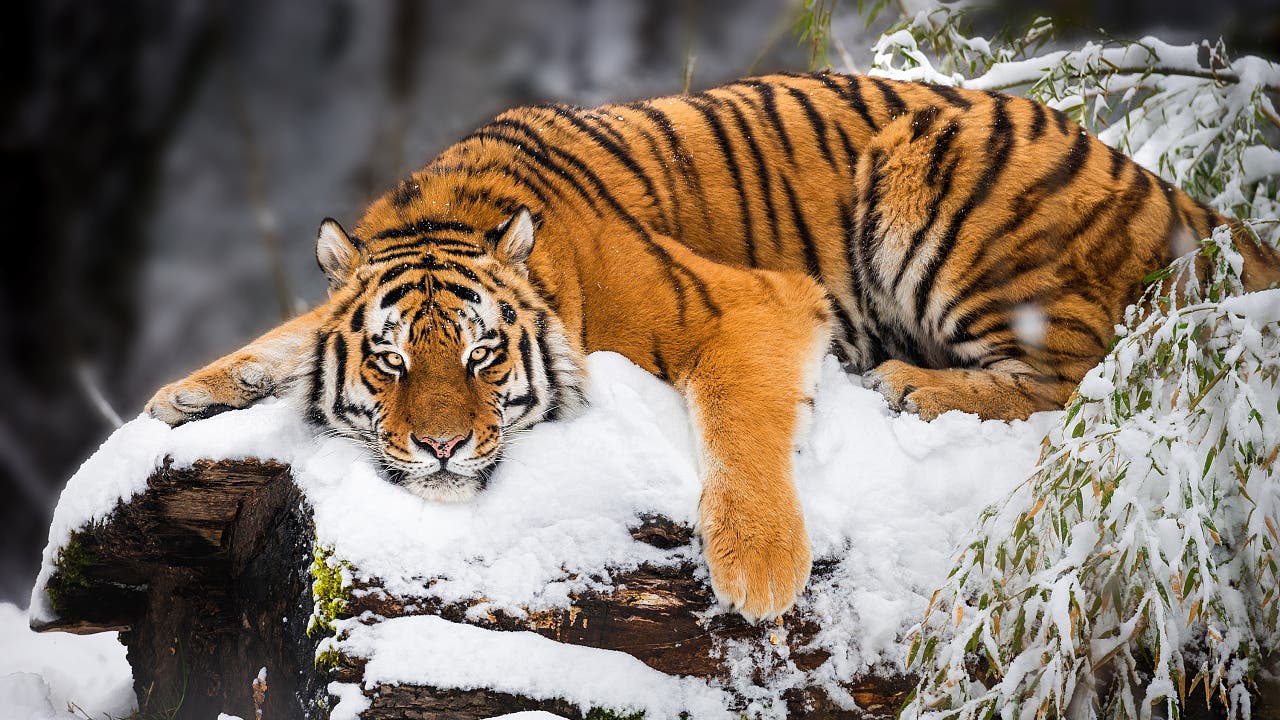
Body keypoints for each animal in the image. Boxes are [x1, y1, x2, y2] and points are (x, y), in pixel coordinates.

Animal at [145, 74, 1280, 622]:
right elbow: (287, 334)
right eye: (388, 360)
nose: (438, 448)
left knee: (1084, 373)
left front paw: (759, 568)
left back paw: (912, 385)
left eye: (479, 357)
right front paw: (184, 396)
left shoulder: (745, 304)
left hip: (936, 179)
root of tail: (1170, 190)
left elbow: (738, 425)